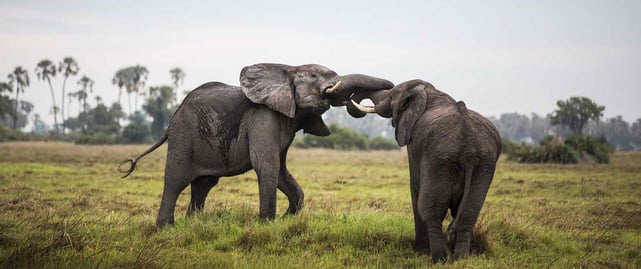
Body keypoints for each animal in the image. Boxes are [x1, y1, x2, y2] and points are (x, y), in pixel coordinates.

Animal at [117, 62, 392, 226]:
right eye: (314, 76)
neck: (287, 69)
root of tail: (172, 118)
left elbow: (280, 170)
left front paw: (285, 219)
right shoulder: (263, 118)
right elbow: (267, 165)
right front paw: (267, 224)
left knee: (203, 184)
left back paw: (193, 223)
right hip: (183, 135)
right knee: (175, 179)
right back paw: (167, 227)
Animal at [328, 78, 502, 260]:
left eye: (391, 95)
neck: (429, 93)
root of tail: (469, 151)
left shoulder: (415, 145)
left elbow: (415, 189)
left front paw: (420, 251)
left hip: (440, 160)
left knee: (432, 210)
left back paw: (439, 259)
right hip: (483, 165)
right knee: (469, 212)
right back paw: (461, 258)